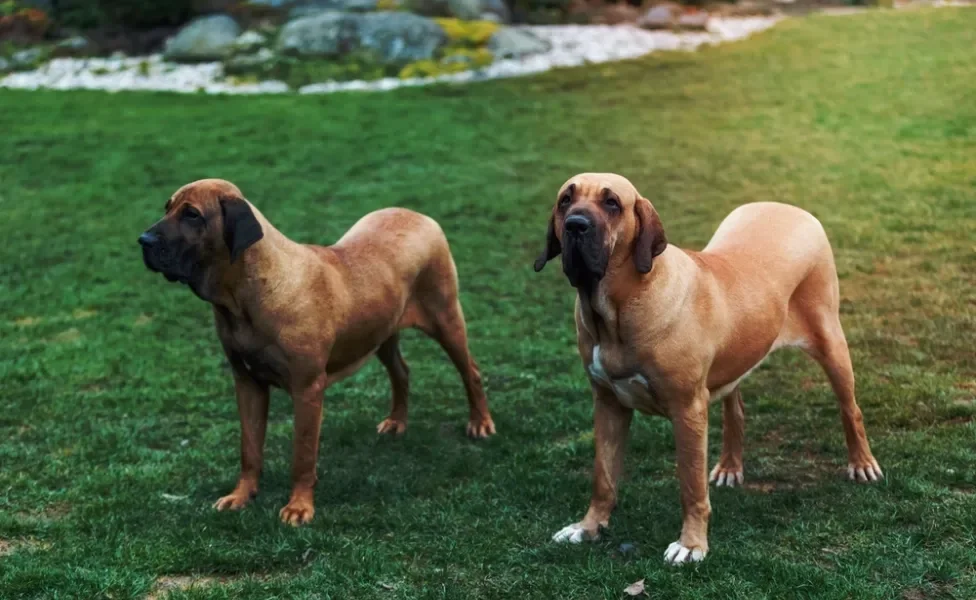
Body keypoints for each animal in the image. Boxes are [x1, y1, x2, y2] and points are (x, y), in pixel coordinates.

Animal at [139, 178, 496, 524]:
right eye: (167, 207)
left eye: (192, 215)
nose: (143, 240)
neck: (245, 296)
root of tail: (418, 215)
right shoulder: (247, 383)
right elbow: (249, 448)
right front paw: (240, 496)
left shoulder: (307, 389)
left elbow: (303, 454)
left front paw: (299, 508)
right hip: (379, 332)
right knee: (401, 371)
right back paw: (397, 421)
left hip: (445, 317)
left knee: (471, 371)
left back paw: (480, 423)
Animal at [532, 172, 884, 564]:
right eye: (566, 200)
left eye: (612, 203)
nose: (576, 224)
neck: (616, 311)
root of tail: (790, 208)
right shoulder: (608, 403)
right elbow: (603, 476)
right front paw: (588, 527)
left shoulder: (687, 410)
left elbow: (690, 484)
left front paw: (691, 544)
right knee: (736, 409)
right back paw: (730, 466)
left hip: (831, 340)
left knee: (850, 408)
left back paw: (862, 463)